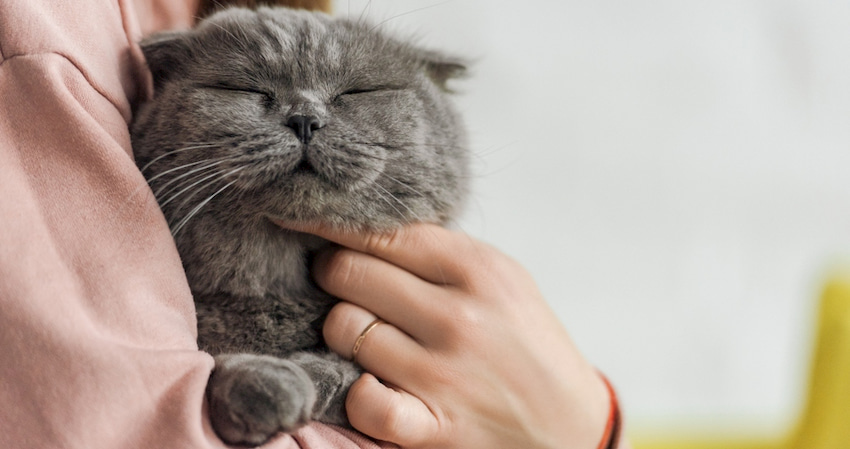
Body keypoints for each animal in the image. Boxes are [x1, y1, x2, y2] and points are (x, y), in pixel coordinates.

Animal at [129, 6, 468, 444]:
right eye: (241, 88)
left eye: (359, 91)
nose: (304, 119)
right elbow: (210, 361)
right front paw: (265, 385)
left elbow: (350, 372)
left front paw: (310, 376)